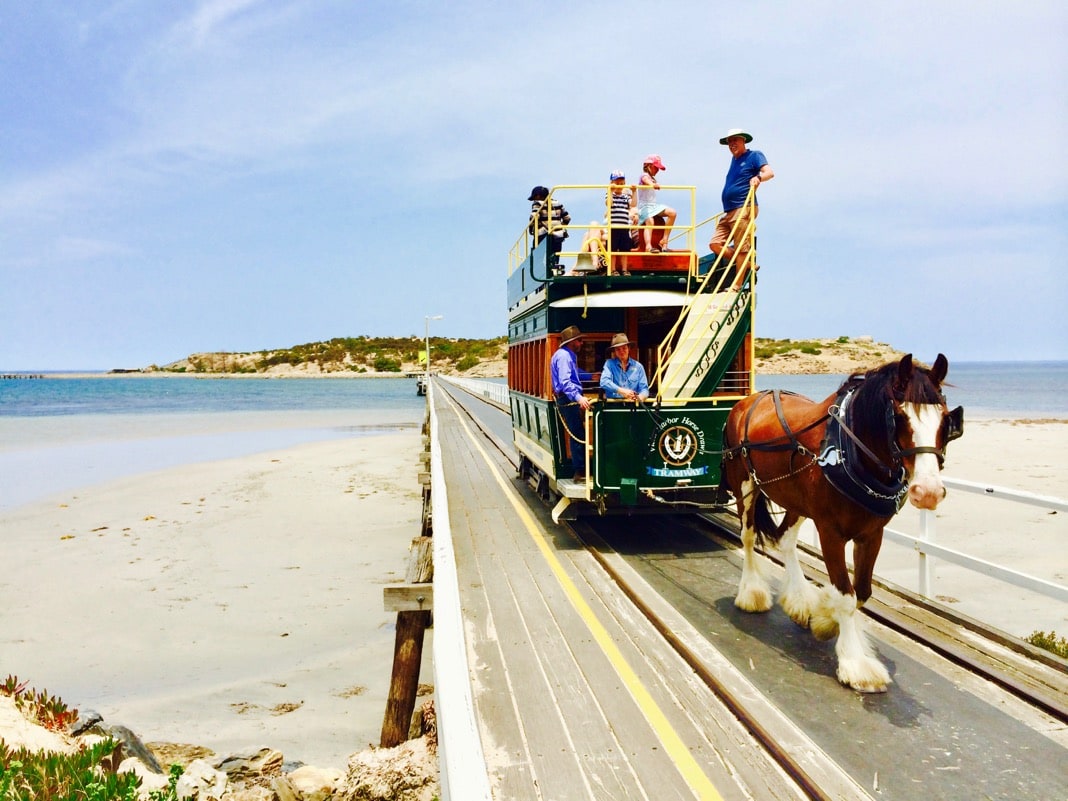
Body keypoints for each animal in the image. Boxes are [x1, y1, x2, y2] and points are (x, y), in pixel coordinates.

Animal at [721, 354, 965, 692]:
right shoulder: (830, 533)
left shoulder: (872, 534)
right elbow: (847, 596)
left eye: (944, 419)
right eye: (900, 417)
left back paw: (800, 600)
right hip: (745, 486)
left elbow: (861, 592)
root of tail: (748, 401)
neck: (849, 454)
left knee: (785, 540)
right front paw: (855, 663)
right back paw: (752, 594)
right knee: (747, 537)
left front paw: (824, 620)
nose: (927, 492)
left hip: (797, 501)